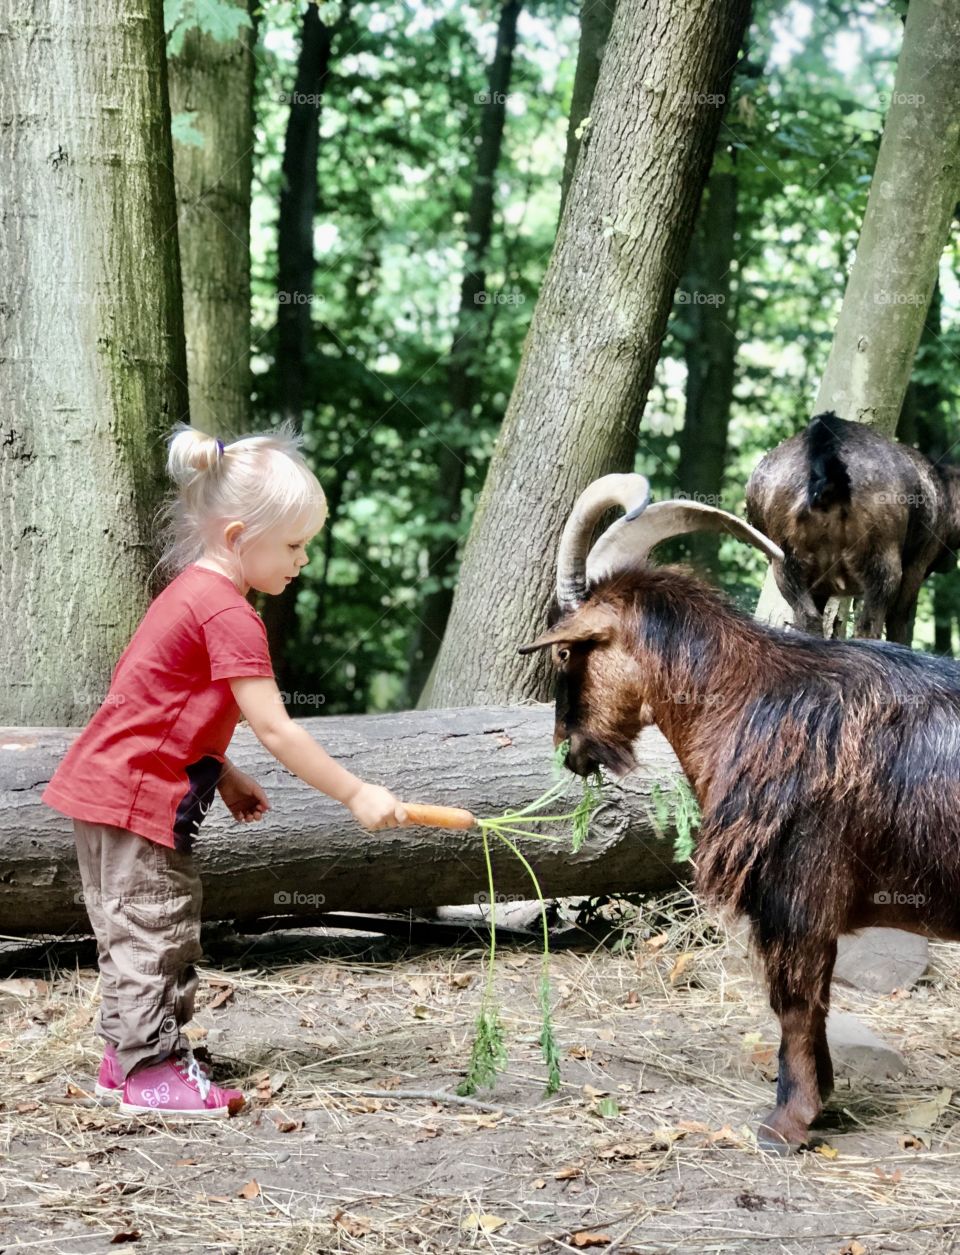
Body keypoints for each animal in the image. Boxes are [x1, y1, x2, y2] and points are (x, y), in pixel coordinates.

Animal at [519, 473, 960, 1151]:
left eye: (567, 654)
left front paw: (787, 1123)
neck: (748, 697)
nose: (569, 749)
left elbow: (796, 1004)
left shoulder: (797, 892)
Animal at [745, 410, 960, 643]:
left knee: (810, 620)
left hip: (786, 563)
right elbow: (899, 621)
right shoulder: (918, 563)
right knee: (867, 627)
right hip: (883, 563)